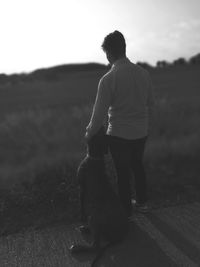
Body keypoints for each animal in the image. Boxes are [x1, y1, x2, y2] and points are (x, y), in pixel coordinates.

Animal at [70, 126, 129, 266]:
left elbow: (81, 204)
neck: (96, 156)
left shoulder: (82, 187)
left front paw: (81, 217)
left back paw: (78, 247)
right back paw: (86, 229)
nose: (103, 125)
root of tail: (120, 235)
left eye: (97, 131)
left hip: (95, 217)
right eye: (102, 133)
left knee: (95, 246)